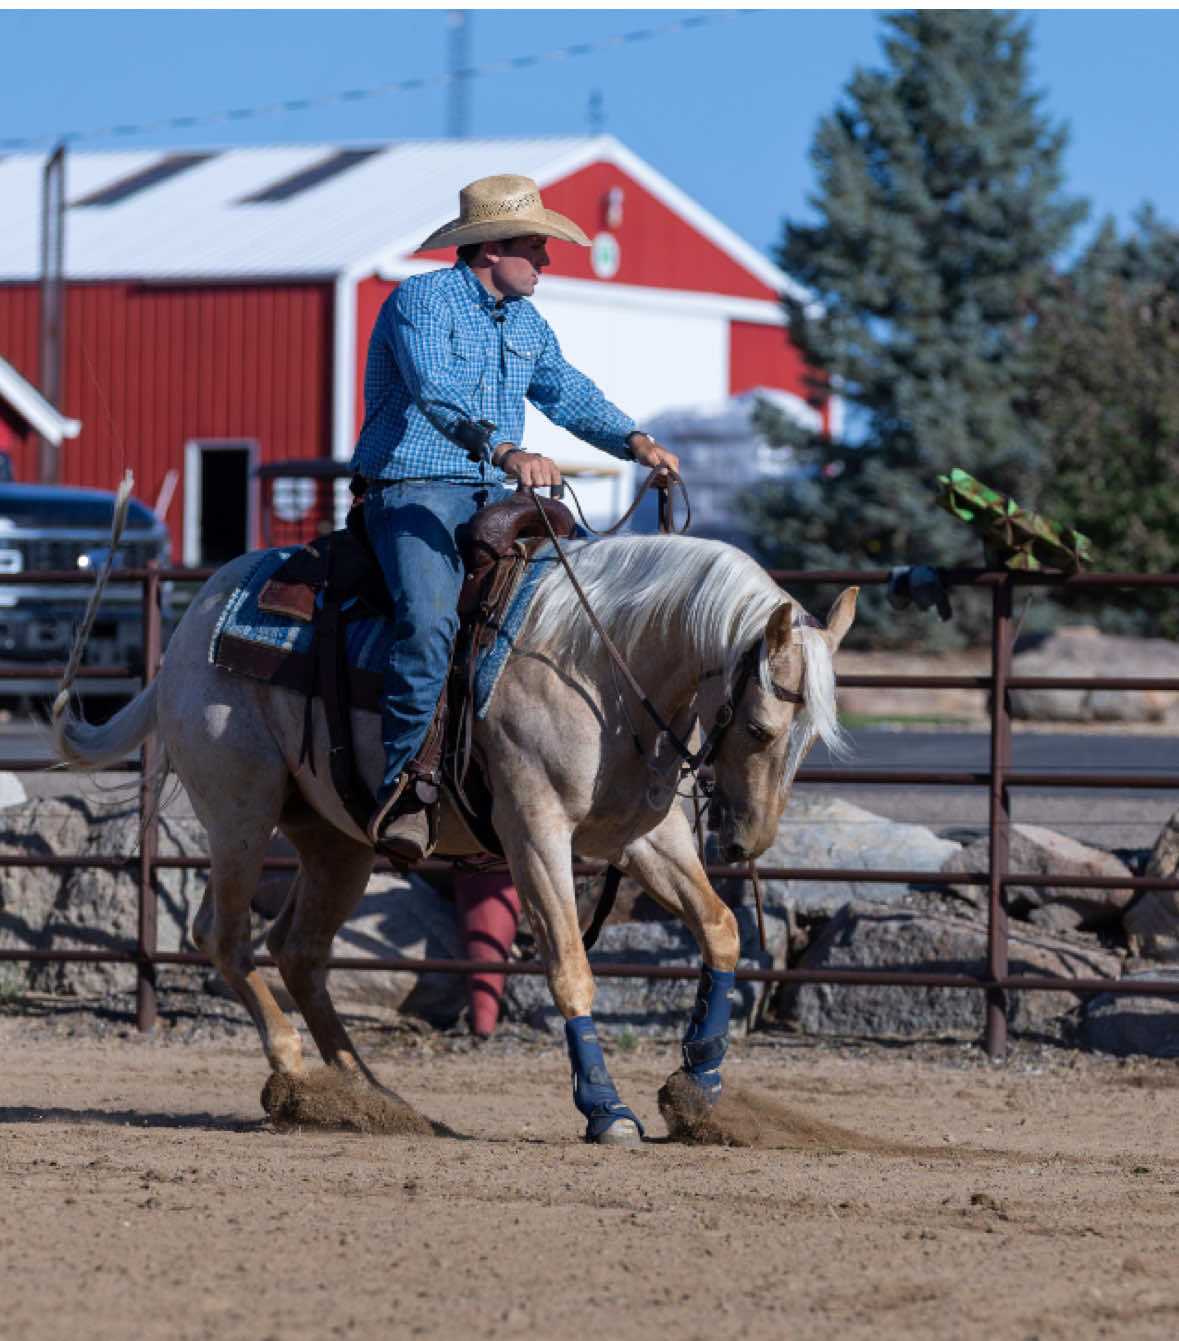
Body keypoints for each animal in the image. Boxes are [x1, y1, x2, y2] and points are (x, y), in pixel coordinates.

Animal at [51, 511, 856, 1145]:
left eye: (809, 740)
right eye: (759, 728)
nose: (748, 842)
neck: (596, 663)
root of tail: (186, 636)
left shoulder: (644, 838)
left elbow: (719, 928)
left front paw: (700, 1082)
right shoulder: (534, 830)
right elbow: (569, 966)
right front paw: (606, 1109)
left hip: (336, 840)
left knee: (299, 950)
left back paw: (368, 1094)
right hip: (240, 811)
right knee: (224, 936)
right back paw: (292, 1068)